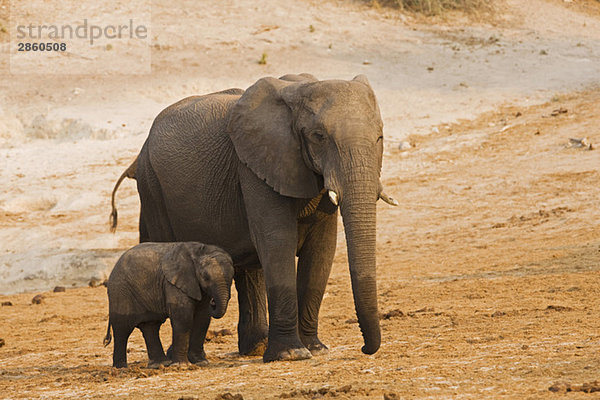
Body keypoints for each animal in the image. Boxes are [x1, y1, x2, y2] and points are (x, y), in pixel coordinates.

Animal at [103, 241, 234, 368]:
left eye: (233, 277)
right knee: (122, 329)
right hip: (120, 293)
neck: (199, 251)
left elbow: (202, 319)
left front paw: (201, 362)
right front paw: (181, 366)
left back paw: (160, 364)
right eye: (205, 277)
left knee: (150, 326)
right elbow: (183, 318)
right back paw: (121, 368)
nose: (213, 302)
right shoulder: (173, 283)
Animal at [111, 72, 398, 362]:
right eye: (318, 136)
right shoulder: (253, 166)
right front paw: (292, 354)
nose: (365, 348)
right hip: (152, 187)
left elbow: (321, 249)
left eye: (380, 137)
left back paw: (255, 348)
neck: (300, 89)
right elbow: (277, 241)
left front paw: (315, 348)